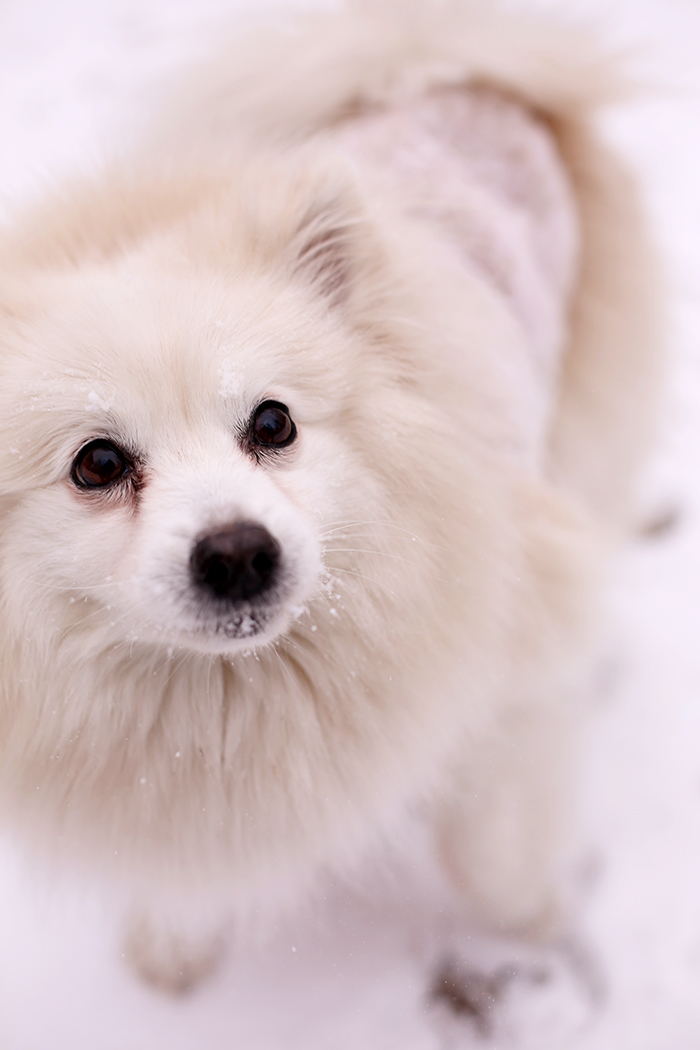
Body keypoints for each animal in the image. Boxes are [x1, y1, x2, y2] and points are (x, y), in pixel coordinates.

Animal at [0, 0, 663, 986]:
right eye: (98, 465)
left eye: (273, 423)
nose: (239, 553)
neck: (234, 700)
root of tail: (448, 68)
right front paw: (173, 948)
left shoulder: (515, 659)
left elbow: (490, 842)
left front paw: (534, 917)